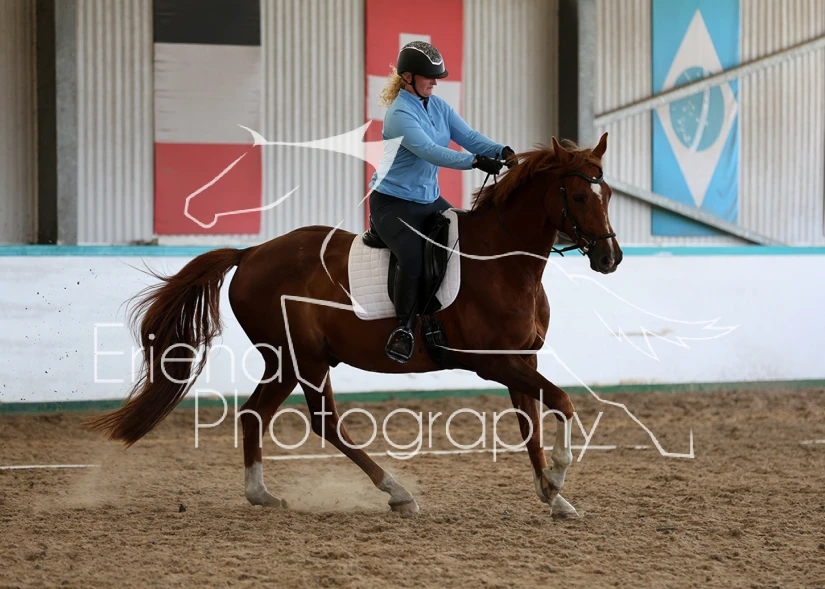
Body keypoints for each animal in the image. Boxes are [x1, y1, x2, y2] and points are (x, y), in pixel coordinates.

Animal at [86, 133, 621, 518]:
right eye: (578, 194)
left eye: (608, 193)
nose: (610, 258)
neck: (501, 261)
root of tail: (252, 252)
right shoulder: (493, 363)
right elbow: (563, 401)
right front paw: (558, 476)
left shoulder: (521, 360)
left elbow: (533, 423)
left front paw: (553, 495)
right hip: (302, 357)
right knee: (323, 420)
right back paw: (397, 492)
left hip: (288, 360)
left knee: (257, 415)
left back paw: (263, 495)